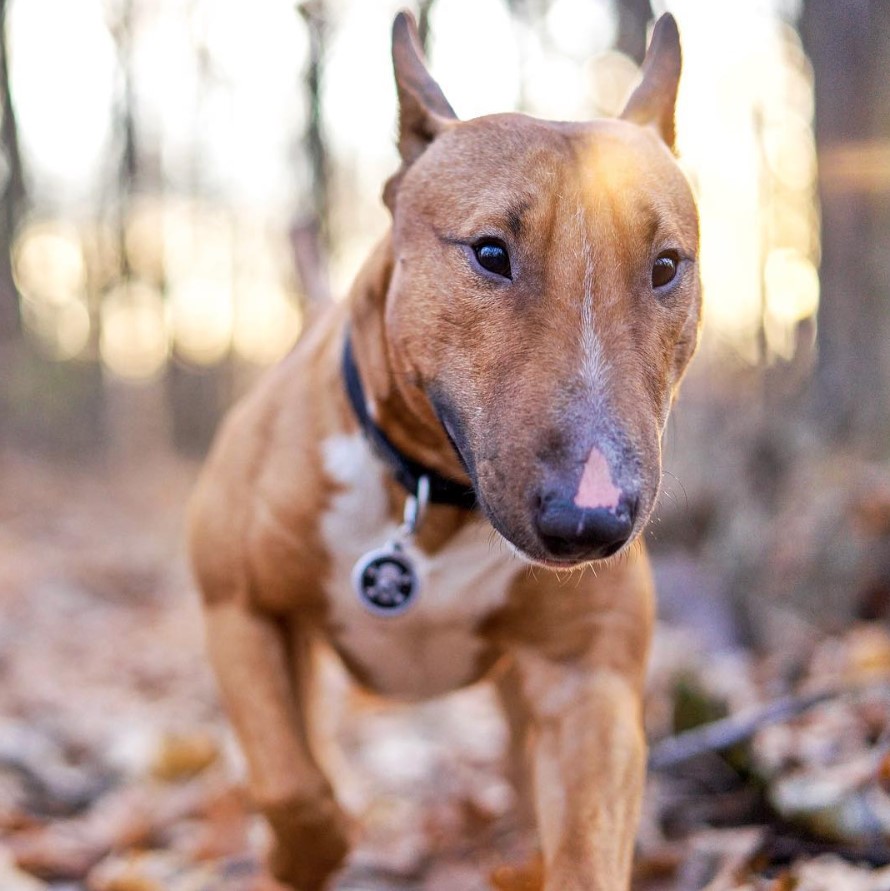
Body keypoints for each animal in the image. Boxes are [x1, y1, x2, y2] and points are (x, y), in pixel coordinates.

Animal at [189, 8, 700, 891]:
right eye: (490, 251)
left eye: (667, 265)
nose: (592, 521)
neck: (432, 500)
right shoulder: (238, 610)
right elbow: (296, 787)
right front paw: (295, 854)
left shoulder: (586, 677)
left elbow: (587, 845)